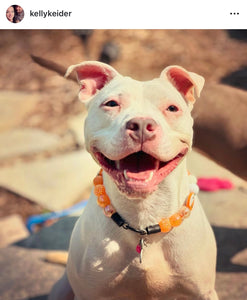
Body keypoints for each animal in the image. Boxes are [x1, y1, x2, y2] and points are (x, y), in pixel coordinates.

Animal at [48, 62, 218, 298]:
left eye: (172, 108)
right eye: (111, 104)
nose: (141, 124)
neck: (144, 215)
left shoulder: (204, 292)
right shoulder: (87, 292)